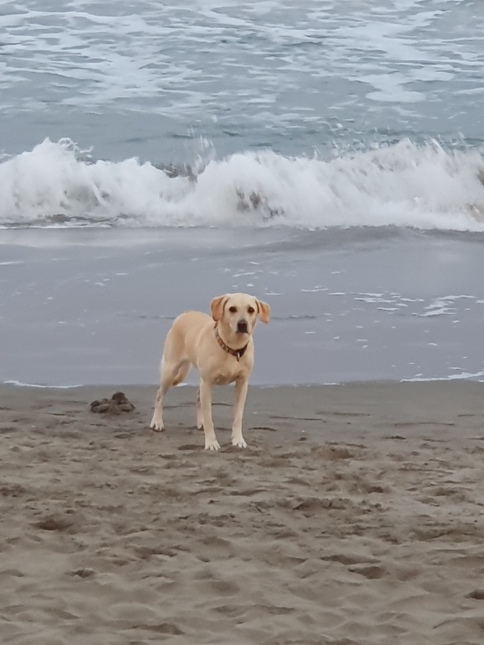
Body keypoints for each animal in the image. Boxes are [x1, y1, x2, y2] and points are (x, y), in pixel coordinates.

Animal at [150, 293, 270, 450]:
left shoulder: (242, 384)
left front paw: (238, 440)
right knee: (159, 395)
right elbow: (209, 418)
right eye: (232, 309)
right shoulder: (207, 382)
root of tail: (185, 313)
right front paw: (211, 442)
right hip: (171, 370)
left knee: (197, 396)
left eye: (251, 309)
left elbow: (238, 417)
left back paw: (199, 422)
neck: (232, 347)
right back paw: (157, 422)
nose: (242, 324)